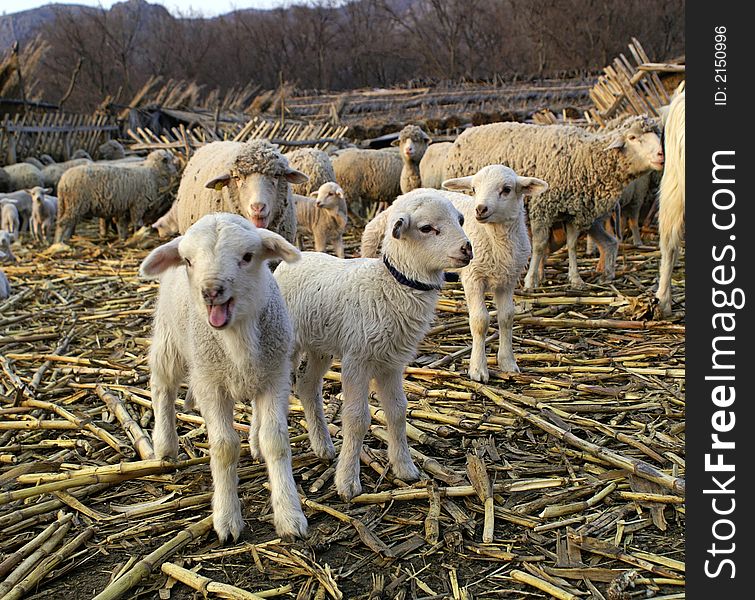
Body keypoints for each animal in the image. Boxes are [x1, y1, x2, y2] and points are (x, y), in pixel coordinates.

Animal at [139, 212, 308, 544]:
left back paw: (254, 442)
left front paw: (289, 515)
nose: (211, 290)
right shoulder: (210, 385)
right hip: (168, 338)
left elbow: (276, 441)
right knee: (162, 387)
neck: (235, 337)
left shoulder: (276, 377)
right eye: (188, 261)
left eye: (247, 257)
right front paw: (227, 518)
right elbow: (224, 447)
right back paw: (165, 446)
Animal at [274, 190, 470, 500]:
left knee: (307, 386)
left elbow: (398, 411)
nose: (467, 249)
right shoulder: (357, 359)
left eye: (460, 220)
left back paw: (323, 446)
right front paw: (347, 482)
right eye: (426, 228)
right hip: (290, 344)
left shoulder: (391, 363)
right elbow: (357, 419)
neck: (390, 285)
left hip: (321, 346)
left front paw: (405, 468)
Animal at [362, 165, 548, 380]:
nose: (480, 209)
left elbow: (507, 317)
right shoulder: (473, 276)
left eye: (507, 189)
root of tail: (407, 194)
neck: (496, 239)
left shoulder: (508, 279)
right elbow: (480, 321)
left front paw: (508, 362)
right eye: (474, 189)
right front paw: (478, 369)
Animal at [446, 116, 664, 290]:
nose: (661, 156)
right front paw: (531, 280)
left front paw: (575, 279)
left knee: (610, 242)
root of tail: (465, 133)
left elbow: (572, 245)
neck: (587, 157)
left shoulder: (574, 213)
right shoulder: (543, 209)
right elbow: (540, 246)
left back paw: (606, 276)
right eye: (633, 137)